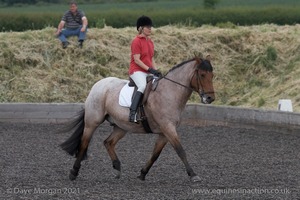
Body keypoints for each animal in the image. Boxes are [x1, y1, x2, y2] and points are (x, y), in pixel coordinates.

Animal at [61, 55, 214, 183]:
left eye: (212, 75)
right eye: (202, 75)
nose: (210, 98)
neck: (169, 92)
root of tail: (97, 85)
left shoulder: (164, 133)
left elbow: (155, 154)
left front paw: (142, 174)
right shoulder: (168, 128)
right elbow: (180, 150)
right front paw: (193, 175)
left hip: (121, 127)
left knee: (108, 142)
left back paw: (117, 168)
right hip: (92, 122)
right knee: (84, 143)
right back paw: (73, 172)